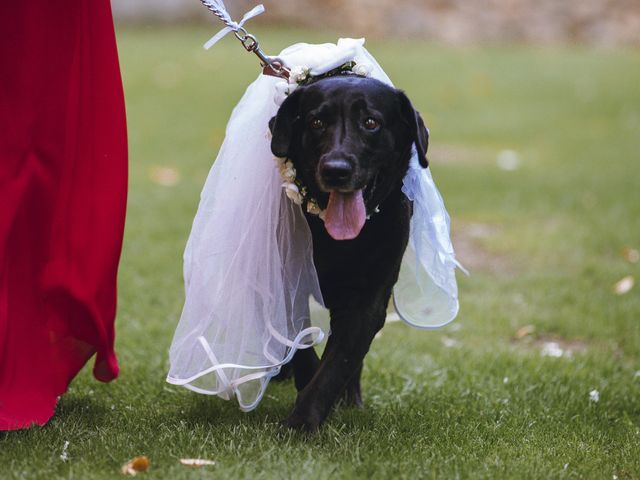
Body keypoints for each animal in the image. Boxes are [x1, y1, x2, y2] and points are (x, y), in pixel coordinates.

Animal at [268, 75, 428, 432]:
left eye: (370, 122)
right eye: (316, 123)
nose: (336, 169)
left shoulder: (367, 302)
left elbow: (338, 364)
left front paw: (304, 421)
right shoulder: (284, 284)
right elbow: (301, 345)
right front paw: (304, 386)